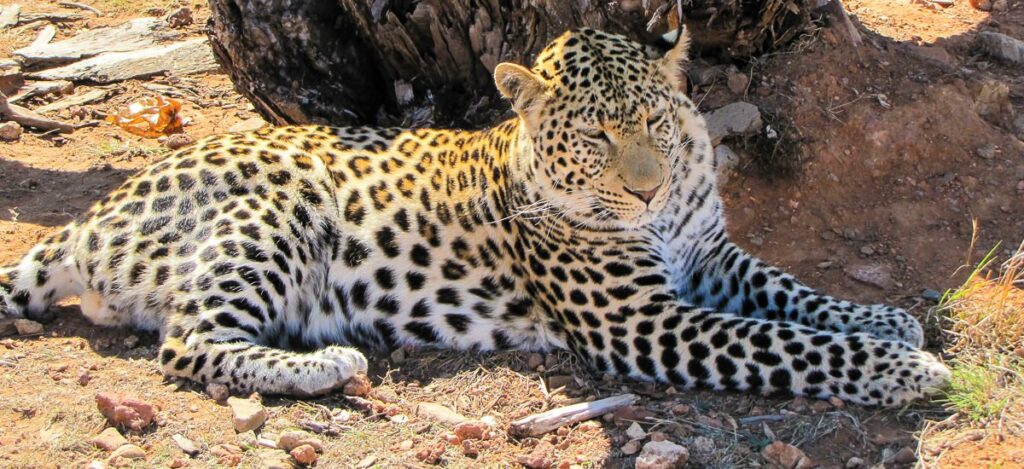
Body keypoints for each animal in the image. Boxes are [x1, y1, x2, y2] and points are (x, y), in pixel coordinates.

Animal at [0, 28, 949, 406]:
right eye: (595, 138)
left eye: (653, 123)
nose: (646, 192)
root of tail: (90, 216)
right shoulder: (642, 322)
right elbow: (785, 343)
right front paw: (905, 370)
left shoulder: (710, 255)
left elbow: (795, 294)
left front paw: (888, 320)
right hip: (277, 209)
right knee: (188, 343)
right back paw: (327, 364)